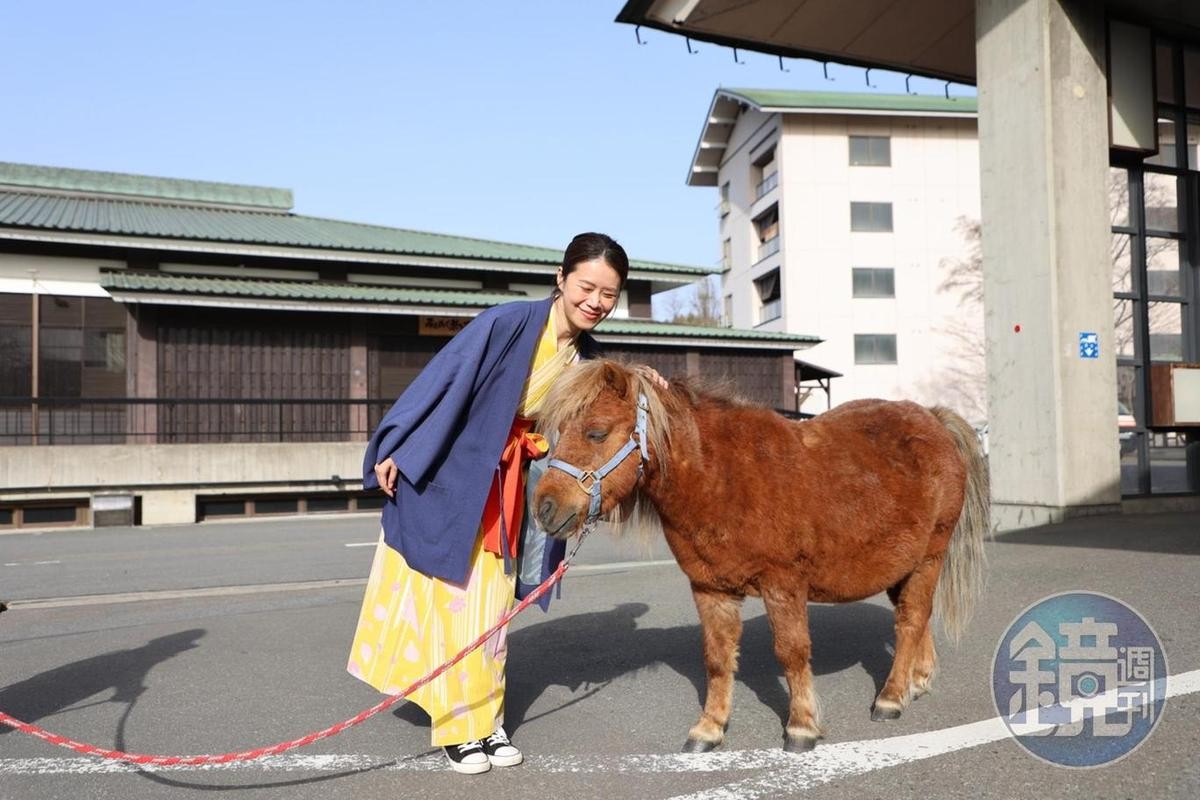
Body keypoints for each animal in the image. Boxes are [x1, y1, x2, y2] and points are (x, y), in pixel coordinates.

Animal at [535, 359, 984, 753]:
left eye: (596, 433)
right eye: (560, 430)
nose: (544, 508)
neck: (722, 479)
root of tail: (934, 418)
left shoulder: (783, 584)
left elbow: (792, 652)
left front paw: (801, 727)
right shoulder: (710, 589)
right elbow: (717, 659)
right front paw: (709, 728)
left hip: (930, 556)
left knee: (910, 620)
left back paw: (891, 697)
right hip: (898, 564)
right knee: (918, 616)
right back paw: (916, 682)